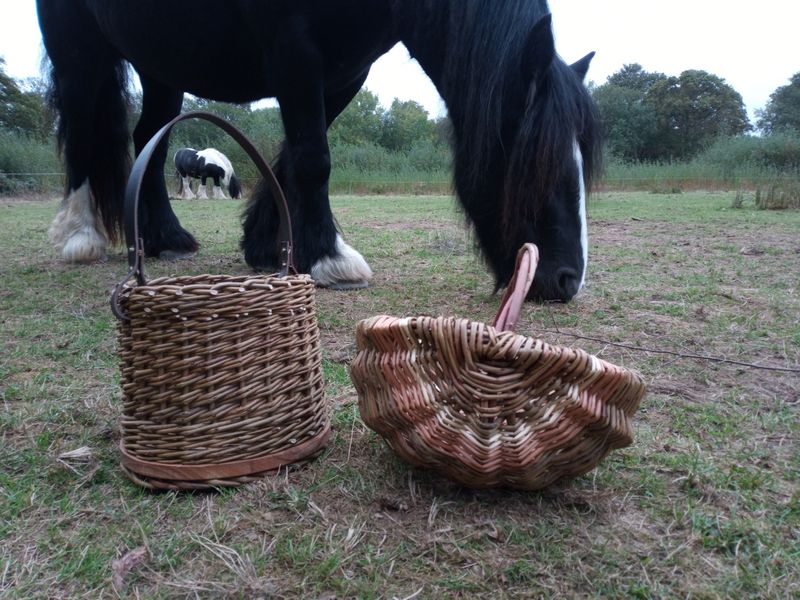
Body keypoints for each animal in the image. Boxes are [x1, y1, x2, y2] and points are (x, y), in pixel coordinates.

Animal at [37, 0, 600, 300]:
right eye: (537, 167)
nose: (567, 280)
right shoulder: (294, 49)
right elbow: (314, 157)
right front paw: (331, 257)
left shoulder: (345, 72)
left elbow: (292, 156)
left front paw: (268, 244)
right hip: (78, 49)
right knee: (83, 130)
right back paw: (81, 235)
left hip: (163, 62)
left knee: (150, 141)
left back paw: (165, 238)